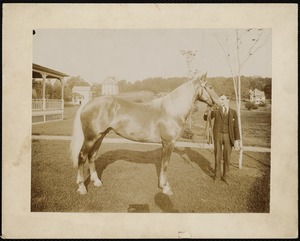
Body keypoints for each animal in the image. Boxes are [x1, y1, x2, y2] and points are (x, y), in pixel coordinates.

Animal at [69, 73, 220, 196]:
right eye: (210, 87)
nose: (219, 103)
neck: (172, 110)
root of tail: (88, 103)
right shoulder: (169, 143)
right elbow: (166, 164)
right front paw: (166, 188)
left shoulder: (165, 144)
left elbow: (162, 163)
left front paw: (163, 185)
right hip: (91, 137)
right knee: (82, 156)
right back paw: (82, 187)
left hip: (100, 136)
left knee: (92, 156)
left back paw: (97, 182)